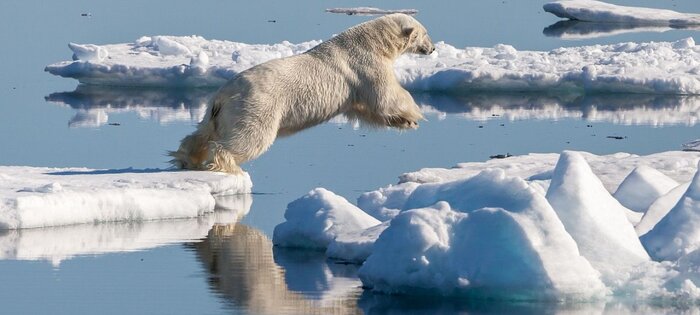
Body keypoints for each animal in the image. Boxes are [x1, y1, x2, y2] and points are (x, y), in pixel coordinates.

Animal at [170, 14, 432, 173]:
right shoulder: (365, 66)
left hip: (218, 111)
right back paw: (228, 164)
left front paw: (405, 121)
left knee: (202, 132)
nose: (432, 49)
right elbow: (385, 95)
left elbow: (364, 109)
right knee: (248, 138)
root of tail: (222, 96)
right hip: (255, 105)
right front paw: (415, 115)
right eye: (426, 33)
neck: (370, 41)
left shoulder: (354, 86)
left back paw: (185, 158)